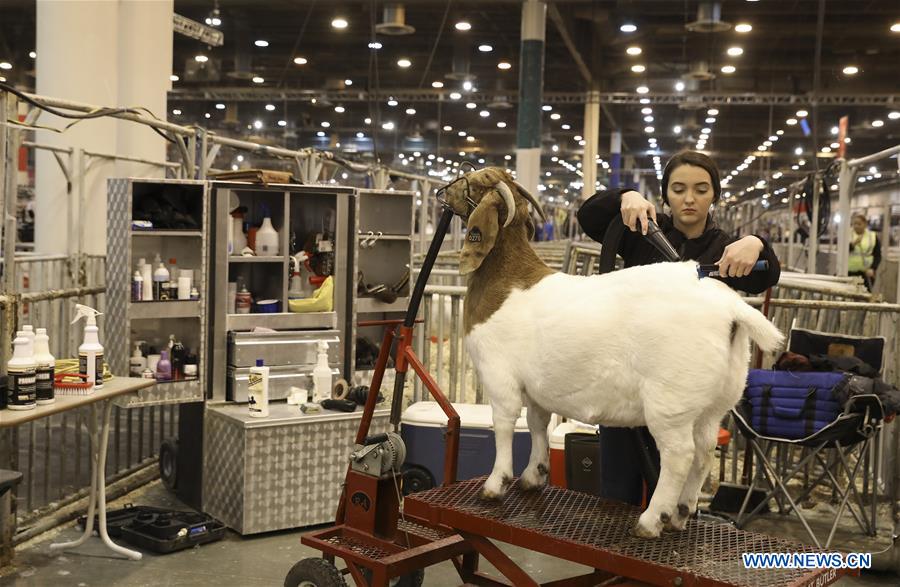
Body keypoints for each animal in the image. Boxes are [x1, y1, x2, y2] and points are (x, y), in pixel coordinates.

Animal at [442, 168, 780, 540]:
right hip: (715, 404)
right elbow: (537, 425)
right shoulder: (537, 390)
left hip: (671, 403)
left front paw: (493, 485)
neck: (507, 281)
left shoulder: (499, 376)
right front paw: (533, 476)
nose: (443, 190)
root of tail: (732, 307)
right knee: (705, 452)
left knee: (679, 455)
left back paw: (651, 520)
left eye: (473, 182)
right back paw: (679, 514)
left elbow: (503, 426)